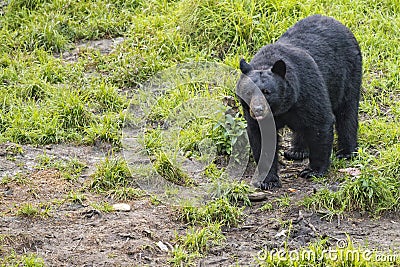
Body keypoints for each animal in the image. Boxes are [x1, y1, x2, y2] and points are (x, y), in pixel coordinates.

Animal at [238, 15, 362, 191]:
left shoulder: (307, 88)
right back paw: (296, 151)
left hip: (348, 74)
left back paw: (347, 152)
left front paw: (313, 171)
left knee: (347, 112)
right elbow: (262, 139)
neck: (282, 107)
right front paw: (268, 180)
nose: (258, 110)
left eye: (267, 92)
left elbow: (320, 122)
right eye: (248, 92)